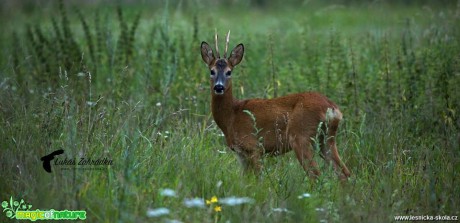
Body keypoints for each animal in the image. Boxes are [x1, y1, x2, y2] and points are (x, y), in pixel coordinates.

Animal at [199, 30, 350, 179]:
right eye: (212, 71)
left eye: (229, 72)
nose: (219, 87)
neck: (232, 116)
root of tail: (331, 107)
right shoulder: (240, 153)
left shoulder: (254, 147)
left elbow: (258, 179)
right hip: (326, 138)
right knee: (344, 172)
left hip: (301, 136)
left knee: (316, 174)